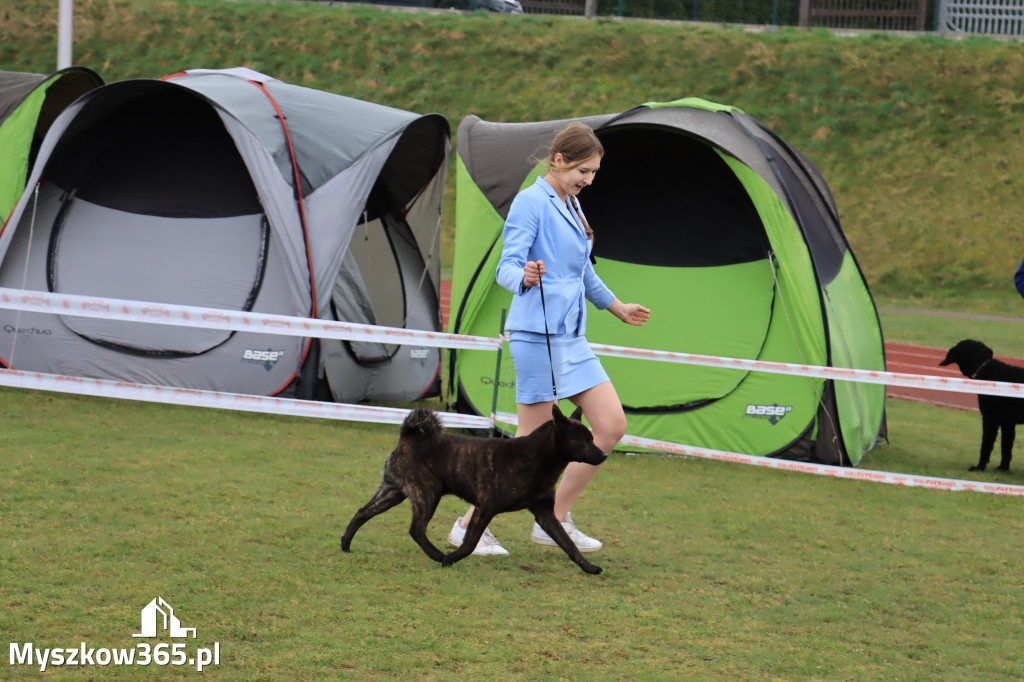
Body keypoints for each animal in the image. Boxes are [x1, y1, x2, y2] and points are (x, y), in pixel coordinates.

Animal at [342, 403, 606, 573]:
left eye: (592, 438)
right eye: (584, 440)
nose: (603, 455)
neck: (538, 458)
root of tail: (408, 437)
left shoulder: (545, 513)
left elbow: (568, 544)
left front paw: (589, 567)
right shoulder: (486, 507)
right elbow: (469, 543)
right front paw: (450, 559)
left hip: (393, 492)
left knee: (362, 512)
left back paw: (345, 544)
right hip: (428, 493)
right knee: (416, 529)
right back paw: (437, 555)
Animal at [937, 337, 1024, 471]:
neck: (985, 369)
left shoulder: (990, 419)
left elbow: (986, 445)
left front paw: (979, 467)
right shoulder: (1007, 423)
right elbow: (1006, 447)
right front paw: (1003, 468)